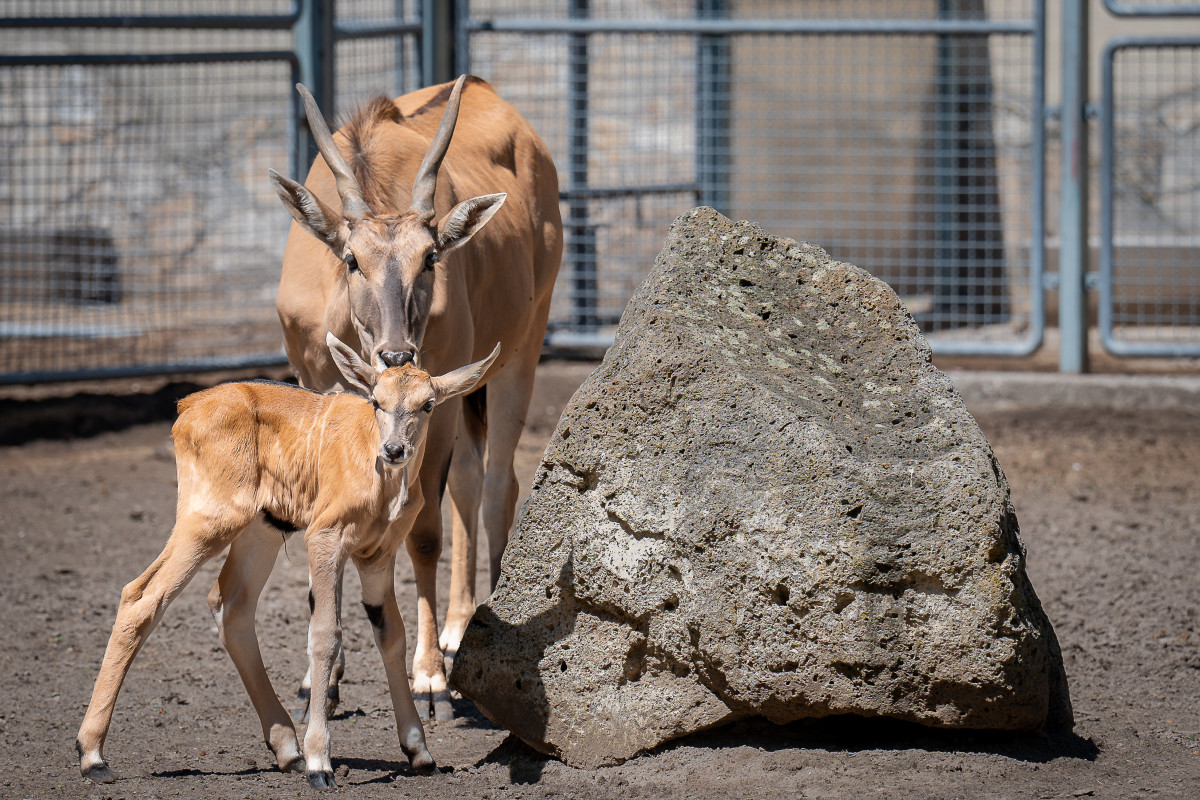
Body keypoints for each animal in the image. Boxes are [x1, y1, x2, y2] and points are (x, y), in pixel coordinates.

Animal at [267, 74, 561, 714]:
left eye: (430, 259)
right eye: (351, 258)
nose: (398, 357)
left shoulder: (439, 400)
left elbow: (424, 533)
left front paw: (428, 675)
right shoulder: (317, 386)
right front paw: (319, 678)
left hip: (521, 353)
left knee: (495, 484)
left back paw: (475, 635)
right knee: (472, 481)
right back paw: (457, 627)